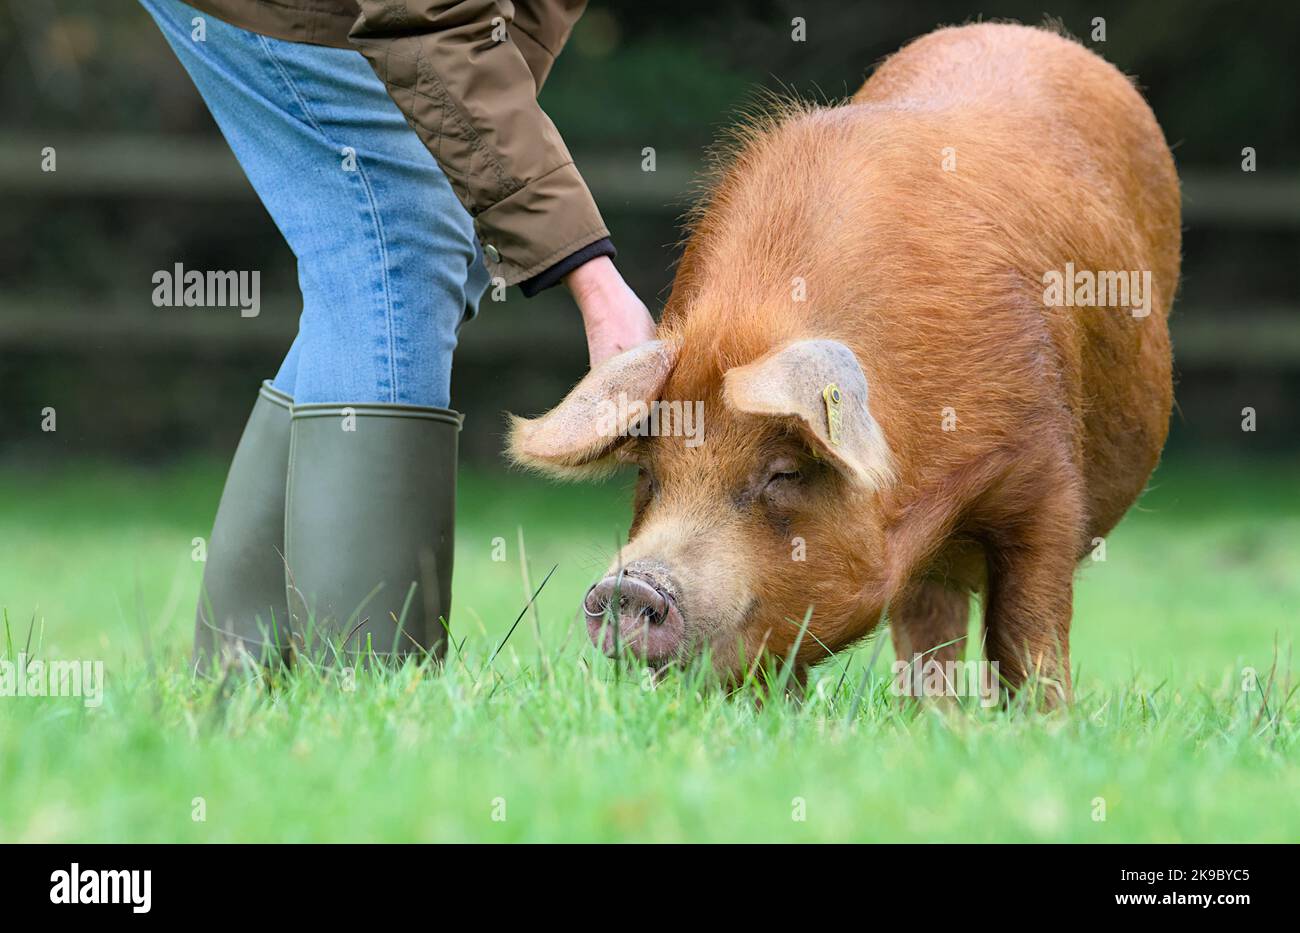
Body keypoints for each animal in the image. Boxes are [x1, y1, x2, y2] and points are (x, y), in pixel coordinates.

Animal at [512, 21, 1185, 701]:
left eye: (783, 472)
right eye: (649, 472)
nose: (629, 586)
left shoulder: (1047, 476)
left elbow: (1028, 631)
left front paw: (1043, 718)